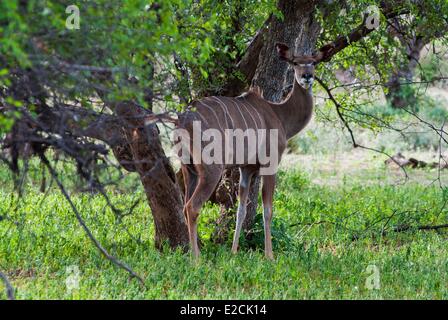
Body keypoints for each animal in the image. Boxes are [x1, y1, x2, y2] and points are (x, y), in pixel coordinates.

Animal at [175, 42, 332, 258]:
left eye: (314, 62)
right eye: (295, 63)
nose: (307, 76)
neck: (279, 114)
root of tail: (184, 119)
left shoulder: (246, 168)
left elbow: (241, 209)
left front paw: (233, 252)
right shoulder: (270, 163)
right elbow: (267, 210)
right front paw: (269, 256)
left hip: (188, 168)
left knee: (184, 206)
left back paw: (191, 254)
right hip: (211, 169)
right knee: (192, 206)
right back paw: (196, 259)